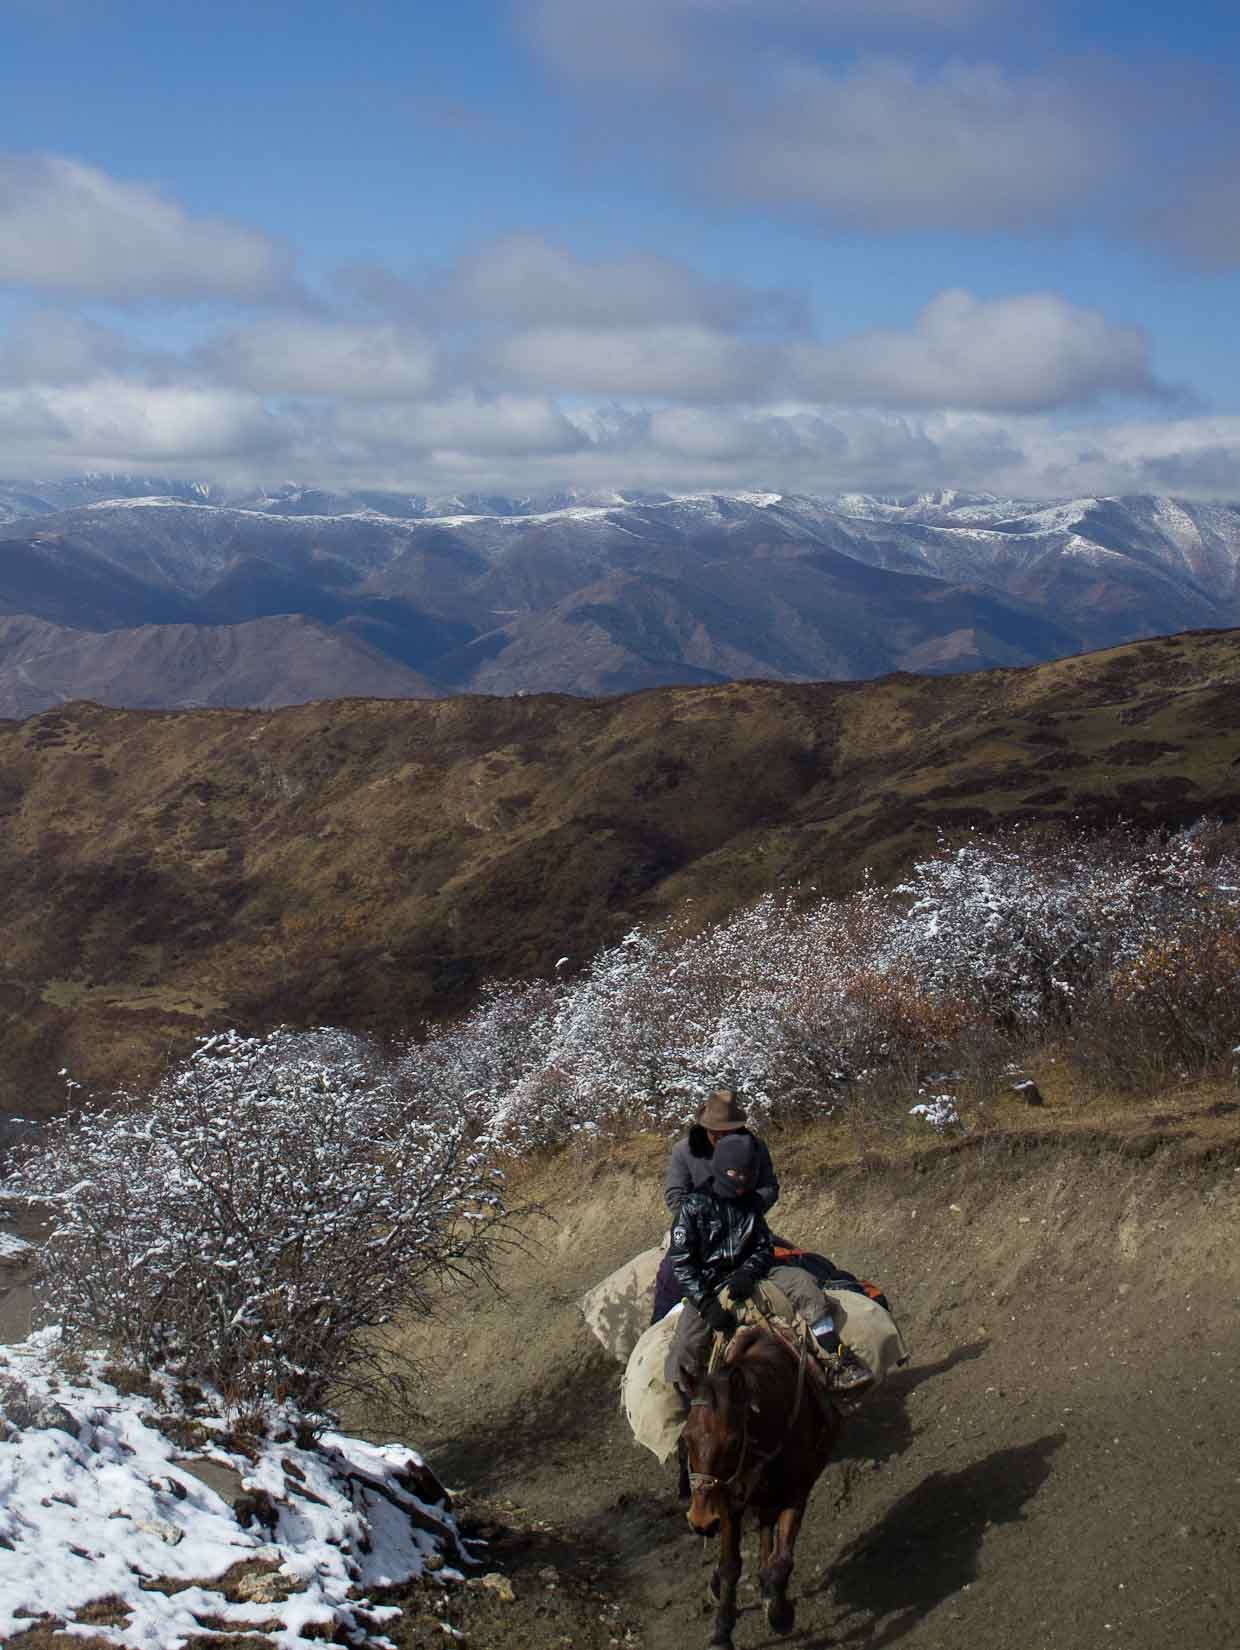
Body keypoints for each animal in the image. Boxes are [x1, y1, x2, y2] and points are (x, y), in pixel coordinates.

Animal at [679, 1326, 844, 1650]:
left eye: (732, 1442)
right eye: (686, 1439)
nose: (700, 1521)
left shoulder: (797, 1491)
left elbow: (782, 1560)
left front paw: (780, 1612)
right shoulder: (729, 1504)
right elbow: (730, 1566)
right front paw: (722, 1631)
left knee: (770, 1535)